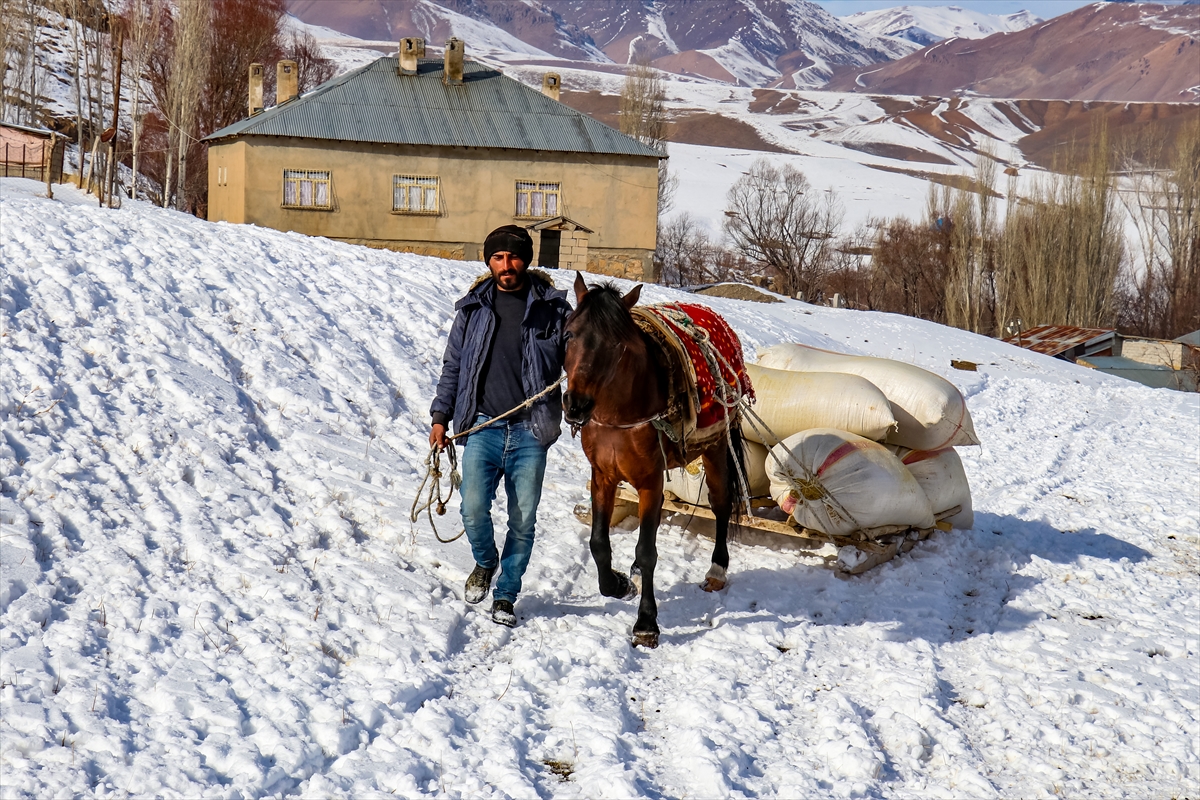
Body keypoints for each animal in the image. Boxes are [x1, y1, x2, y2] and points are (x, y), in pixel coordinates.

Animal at [561, 275, 739, 652]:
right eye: (569, 334)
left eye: (616, 346)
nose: (576, 405)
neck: (618, 414)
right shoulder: (603, 477)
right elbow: (598, 542)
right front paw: (617, 584)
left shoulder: (650, 483)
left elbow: (647, 549)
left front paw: (646, 624)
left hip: (716, 447)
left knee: (720, 503)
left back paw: (717, 570)